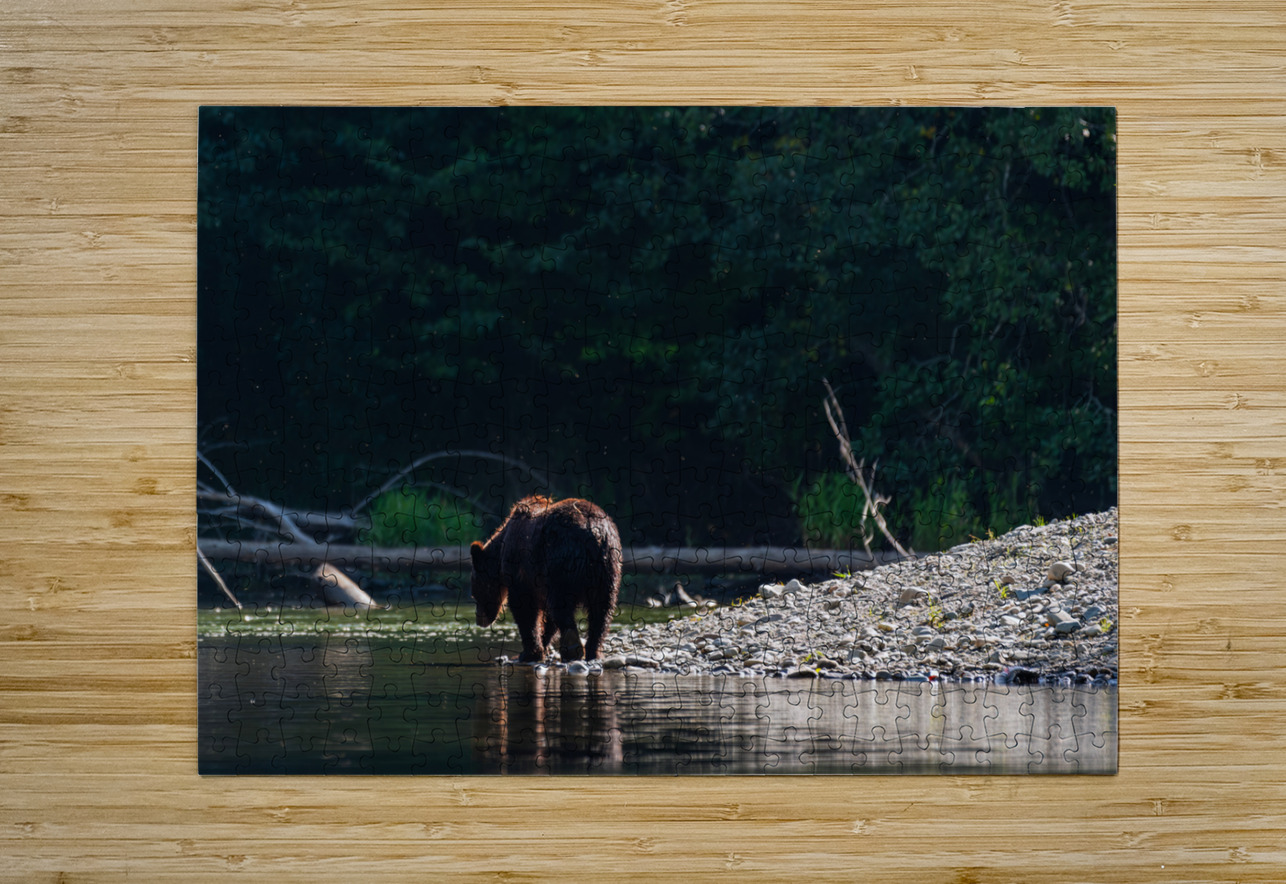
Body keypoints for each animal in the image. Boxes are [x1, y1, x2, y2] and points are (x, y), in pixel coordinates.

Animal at [469, 495, 622, 663]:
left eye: (475, 593)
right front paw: (542, 645)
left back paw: (572, 649)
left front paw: (528, 653)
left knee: (561, 606)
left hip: (560, 561)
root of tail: (594, 533)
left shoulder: (521, 571)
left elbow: (524, 608)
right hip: (608, 567)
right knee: (602, 610)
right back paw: (593, 651)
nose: (479, 619)